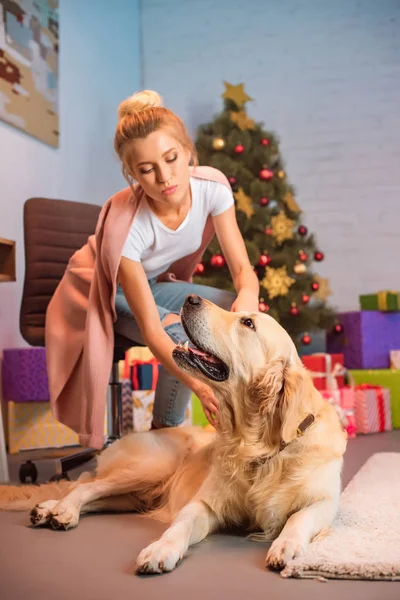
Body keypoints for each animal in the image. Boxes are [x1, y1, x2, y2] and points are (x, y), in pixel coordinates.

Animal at [0, 292, 346, 576]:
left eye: (248, 323)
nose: (191, 298)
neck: (257, 447)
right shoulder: (203, 503)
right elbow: (181, 525)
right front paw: (160, 549)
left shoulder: (325, 502)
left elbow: (298, 518)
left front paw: (287, 546)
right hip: (150, 466)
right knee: (86, 484)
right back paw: (61, 510)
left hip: (136, 493)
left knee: (90, 488)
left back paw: (48, 509)